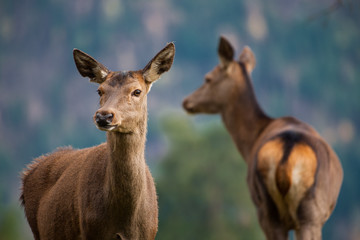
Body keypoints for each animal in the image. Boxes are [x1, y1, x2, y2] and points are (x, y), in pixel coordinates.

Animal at [20, 43, 175, 240]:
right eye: (100, 90)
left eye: (137, 91)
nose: (104, 116)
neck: (124, 218)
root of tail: (28, 172)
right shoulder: (90, 230)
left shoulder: (148, 233)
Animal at [183, 36, 344, 239]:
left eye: (208, 78)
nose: (186, 101)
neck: (251, 141)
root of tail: (286, 156)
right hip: (301, 213)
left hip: (274, 209)